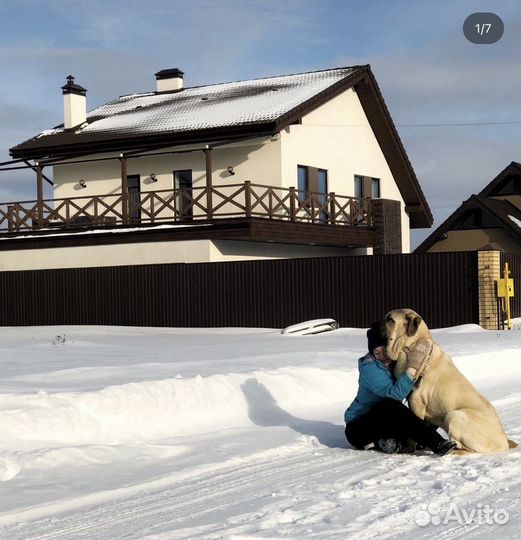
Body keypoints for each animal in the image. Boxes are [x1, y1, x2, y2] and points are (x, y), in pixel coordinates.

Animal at [382, 308, 516, 456]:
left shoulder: (416, 403)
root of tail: (504, 443)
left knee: (465, 448)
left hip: (454, 415)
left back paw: (452, 450)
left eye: (390, 319)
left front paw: (409, 449)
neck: (411, 346)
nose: (375, 324)